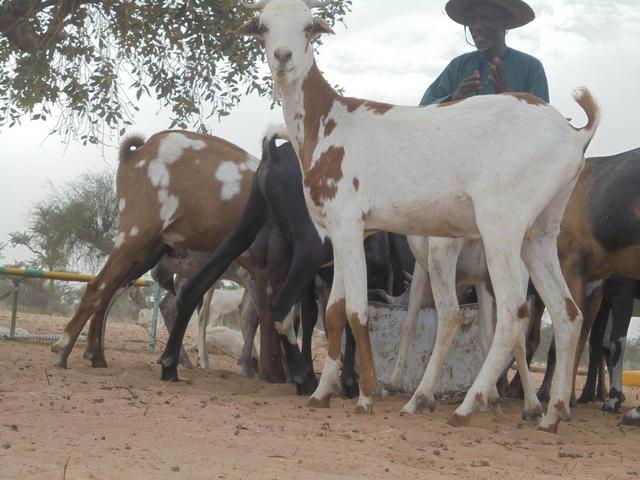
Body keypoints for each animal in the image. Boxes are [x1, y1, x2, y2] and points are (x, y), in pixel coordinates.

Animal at [51, 131, 258, 369]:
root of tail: (137, 152)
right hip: (136, 232)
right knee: (98, 287)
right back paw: (64, 350)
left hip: (142, 254)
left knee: (110, 295)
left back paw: (98, 356)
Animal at [236, 0, 599, 432]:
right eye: (262, 26)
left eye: (309, 27)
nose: (283, 56)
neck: (332, 122)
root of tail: (572, 134)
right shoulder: (342, 234)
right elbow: (335, 312)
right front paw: (322, 394)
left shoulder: (347, 224)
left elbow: (357, 311)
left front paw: (366, 395)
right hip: (539, 234)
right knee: (567, 313)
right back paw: (552, 413)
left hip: (501, 227)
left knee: (513, 313)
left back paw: (467, 405)